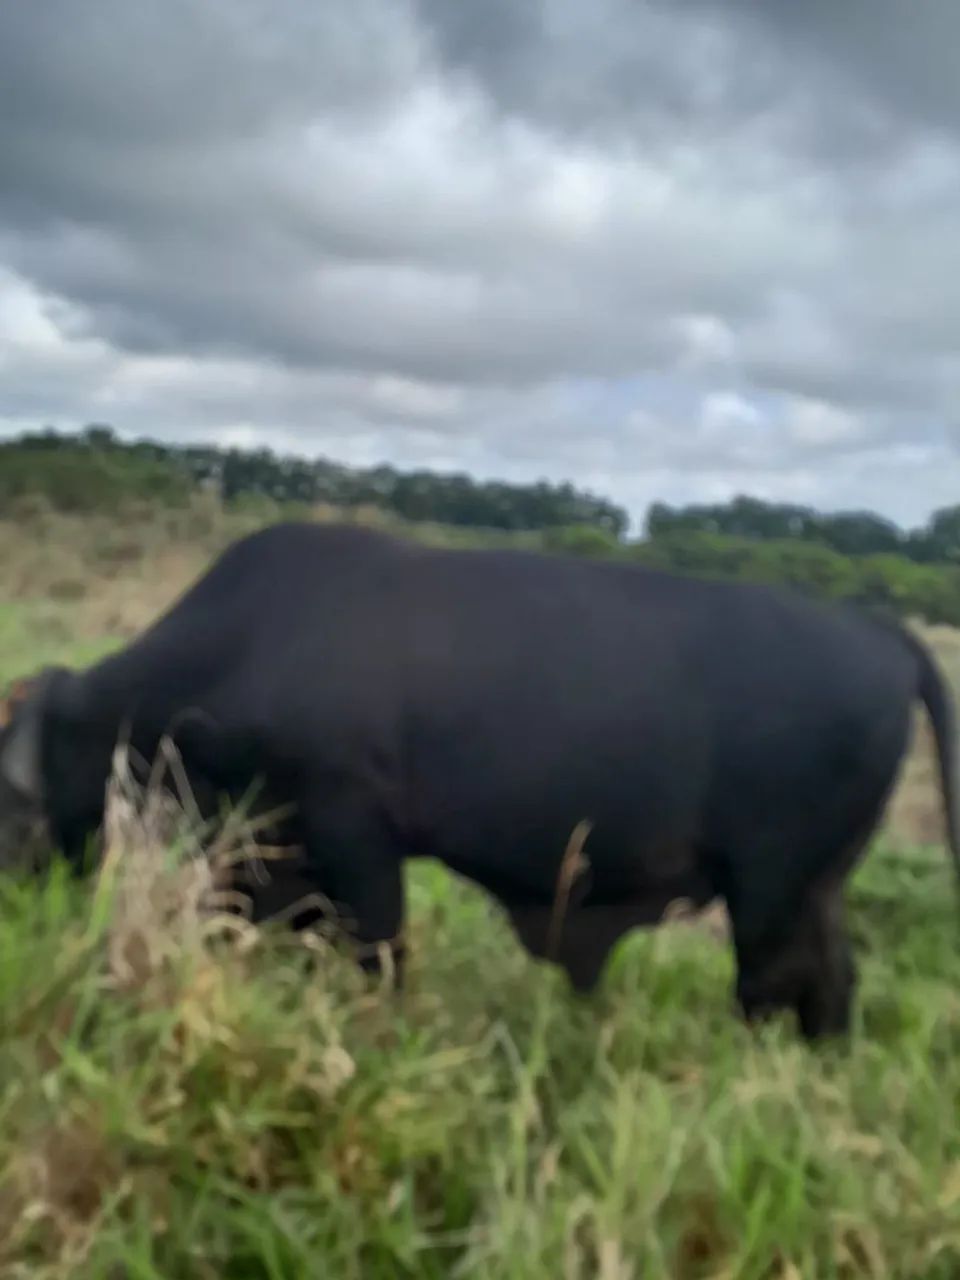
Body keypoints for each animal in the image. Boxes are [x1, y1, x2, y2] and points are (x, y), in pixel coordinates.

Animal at [0, 520, 957, 1040]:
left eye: (12, 799)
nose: (18, 908)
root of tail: (876, 630)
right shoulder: (265, 856)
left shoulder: (356, 839)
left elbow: (379, 956)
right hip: (808, 895)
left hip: (774, 897)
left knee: (782, 991)